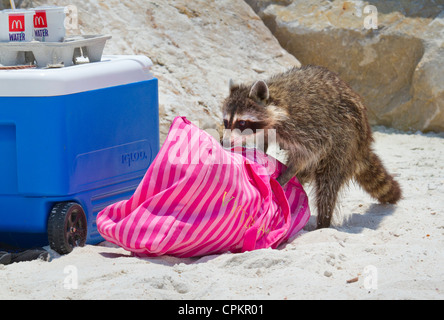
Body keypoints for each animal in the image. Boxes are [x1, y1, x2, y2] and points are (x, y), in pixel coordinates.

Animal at [222, 65, 402, 230]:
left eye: (242, 123)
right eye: (225, 121)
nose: (223, 142)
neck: (275, 102)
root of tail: (363, 146)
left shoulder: (305, 125)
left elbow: (312, 150)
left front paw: (285, 175)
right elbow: (264, 139)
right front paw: (260, 153)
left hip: (344, 144)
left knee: (327, 184)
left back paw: (323, 222)